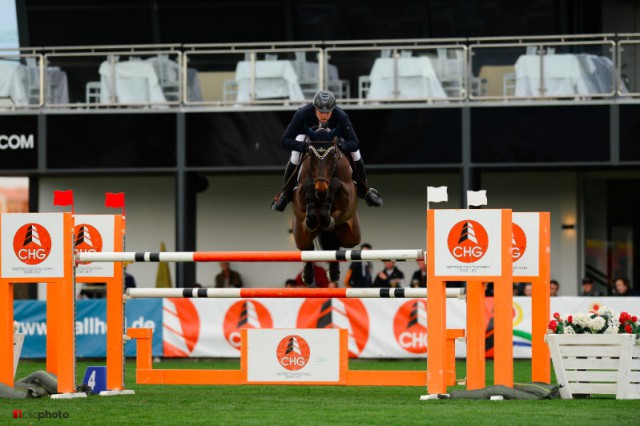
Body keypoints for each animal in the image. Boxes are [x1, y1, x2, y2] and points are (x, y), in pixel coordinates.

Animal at [290, 133, 360, 286]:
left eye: (332, 155)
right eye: (311, 156)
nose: (321, 189)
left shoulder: (349, 193)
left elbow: (336, 182)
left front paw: (326, 214)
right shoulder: (298, 193)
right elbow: (307, 184)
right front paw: (312, 218)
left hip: (351, 235)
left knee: (335, 243)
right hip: (300, 235)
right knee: (307, 248)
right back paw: (308, 274)